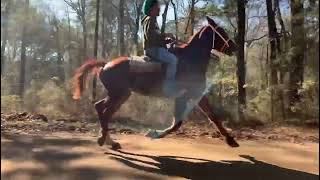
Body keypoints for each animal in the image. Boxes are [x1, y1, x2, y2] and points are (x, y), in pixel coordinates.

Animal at [72, 16, 238, 149]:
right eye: (221, 31)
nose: (234, 47)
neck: (191, 59)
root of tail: (106, 64)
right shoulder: (187, 95)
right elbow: (180, 122)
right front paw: (155, 133)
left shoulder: (194, 95)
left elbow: (210, 117)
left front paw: (231, 140)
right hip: (118, 94)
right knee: (104, 112)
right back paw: (104, 140)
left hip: (120, 95)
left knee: (101, 108)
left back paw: (109, 141)